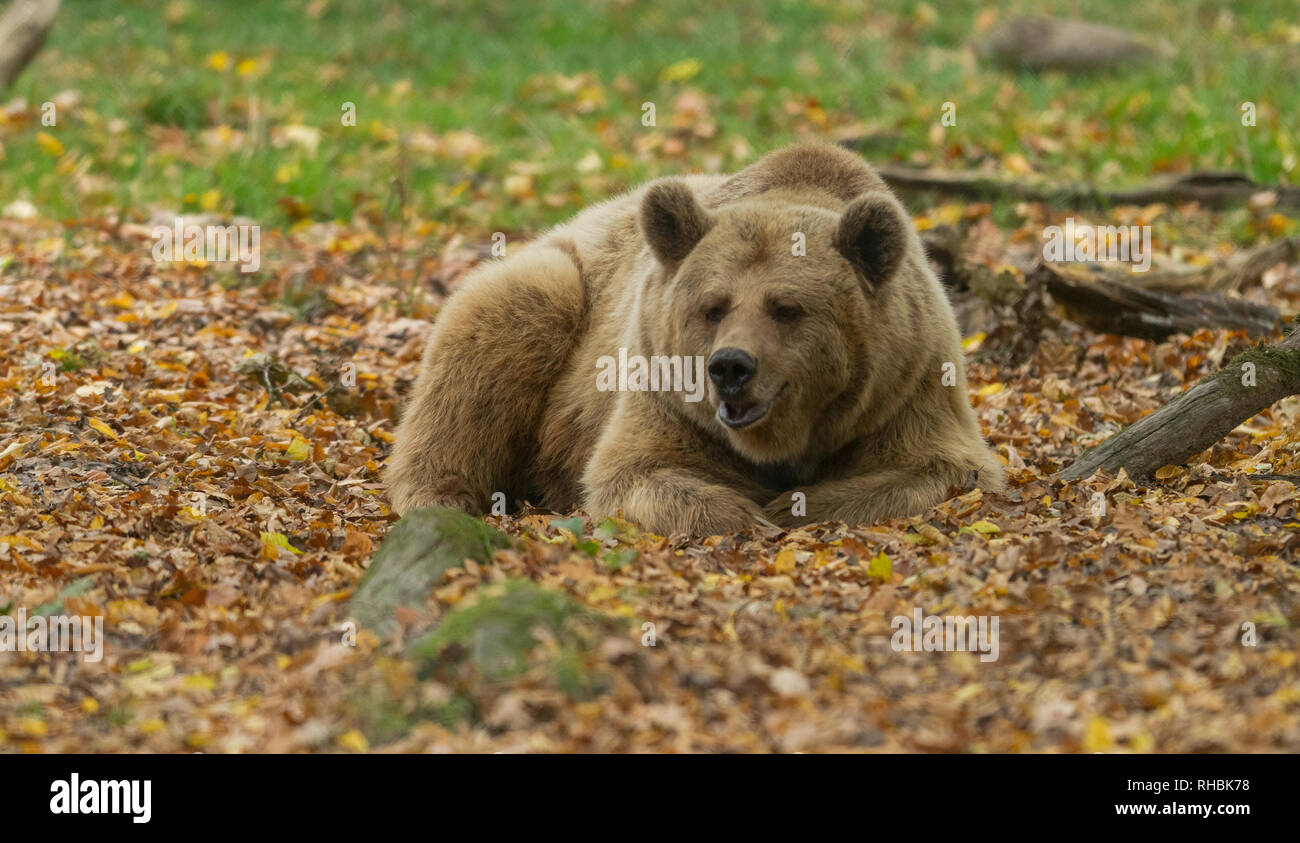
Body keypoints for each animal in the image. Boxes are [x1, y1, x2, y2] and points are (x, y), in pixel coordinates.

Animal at [386, 142, 1003, 536]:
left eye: (787, 309)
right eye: (714, 307)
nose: (731, 367)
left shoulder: (907, 383)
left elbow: (942, 469)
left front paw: (793, 507)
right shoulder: (662, 384)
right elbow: (632, 472)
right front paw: (746, 513)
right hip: (561, 287)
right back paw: (443, 495)